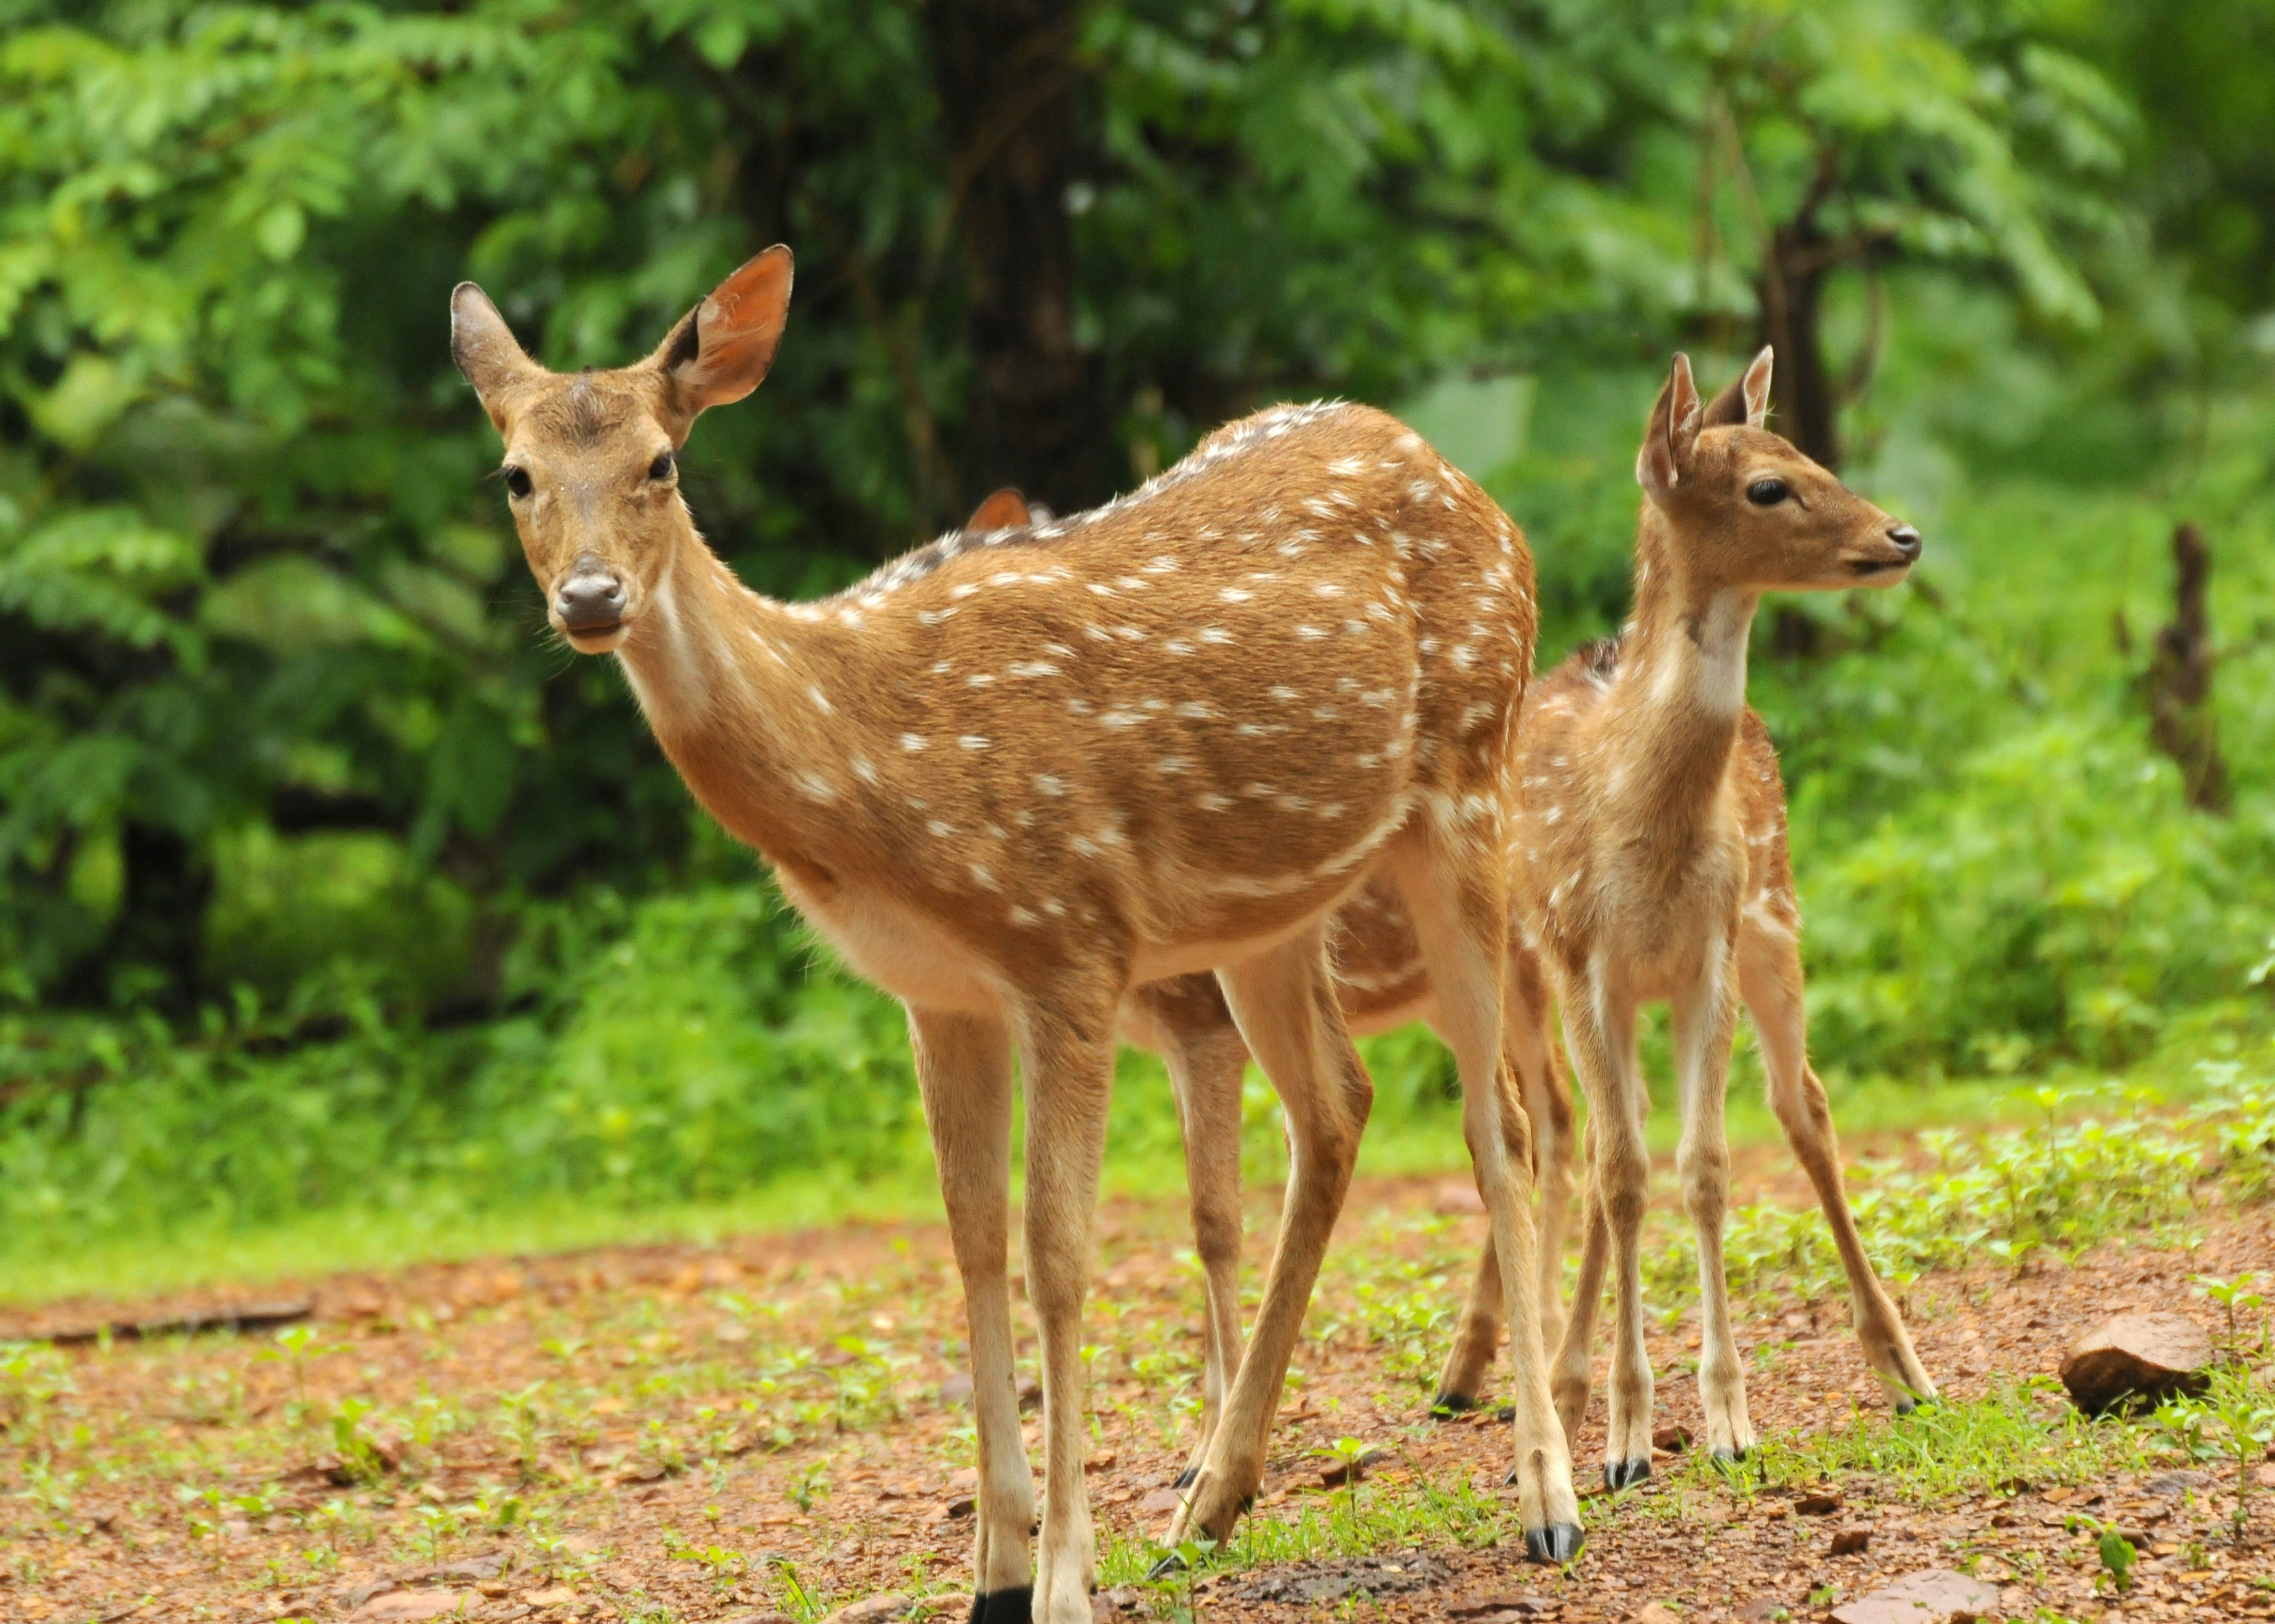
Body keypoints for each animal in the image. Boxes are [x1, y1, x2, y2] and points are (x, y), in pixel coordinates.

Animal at [443, 243, 1583, 1619]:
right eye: (515, 474)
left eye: (663, 461)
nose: (593, 597)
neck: (869, 770)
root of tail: (1477, 492)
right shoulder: (937, 993)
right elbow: (972, 1241)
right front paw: (992, 1568)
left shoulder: (1069, 941)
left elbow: (1060, 1252)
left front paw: (1063, 1579)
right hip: (1272, 907)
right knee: (1337, 1108)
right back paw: (1213, 1502)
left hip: (1466, 780)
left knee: (1499, 1121)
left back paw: (1548, 1496)